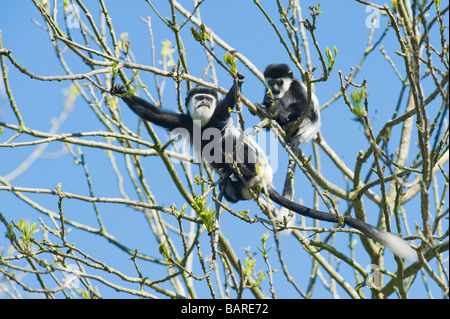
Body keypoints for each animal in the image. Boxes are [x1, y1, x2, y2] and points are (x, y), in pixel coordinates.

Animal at [111, 75, 418, 262]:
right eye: (198, 99)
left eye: (208, 100)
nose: (204, 102)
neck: (204, 123)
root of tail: (263, 182)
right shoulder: (185, 121)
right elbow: (154, 114)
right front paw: (121, 91)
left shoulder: (219, 119)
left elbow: (229, 107)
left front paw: (235, 86)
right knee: (233, 187)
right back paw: (229, 183)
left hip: (256, 163)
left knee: (243, 150)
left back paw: (239, 170)